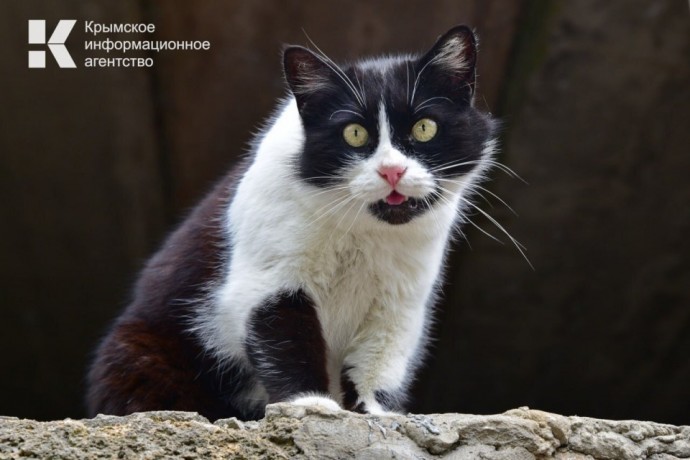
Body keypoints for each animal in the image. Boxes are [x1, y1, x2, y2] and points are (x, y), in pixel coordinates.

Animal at [86, 24, 494, 420]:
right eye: (354, 133)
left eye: (425, 127)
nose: (392, 170)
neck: (361, 234)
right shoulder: (268, 277)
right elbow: (283, 334)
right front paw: (309, 403)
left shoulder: (402, 301)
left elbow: (379, 357)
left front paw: (376, 411)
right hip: (138, 354)